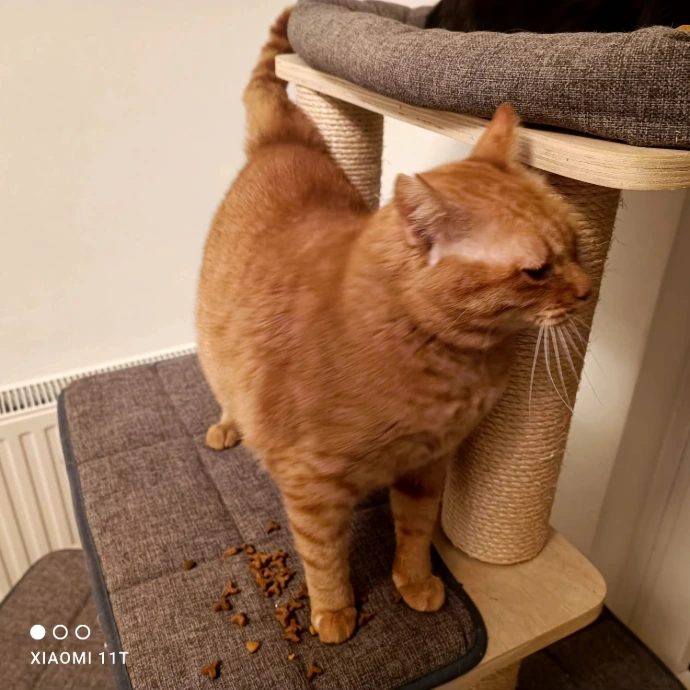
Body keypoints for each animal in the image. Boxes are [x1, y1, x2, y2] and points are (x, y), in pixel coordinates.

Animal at [196, 8, 591, 644]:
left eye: (578, 245)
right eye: (537, 271)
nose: (586, 290)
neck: (450, 360)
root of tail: (284, 139)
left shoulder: (427, 465)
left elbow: (416, 529)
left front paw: (415, 581)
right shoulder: (312, 486)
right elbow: (324, 556)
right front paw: (335, 614)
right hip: (215, 348)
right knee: (225, 389)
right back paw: (229, 427)